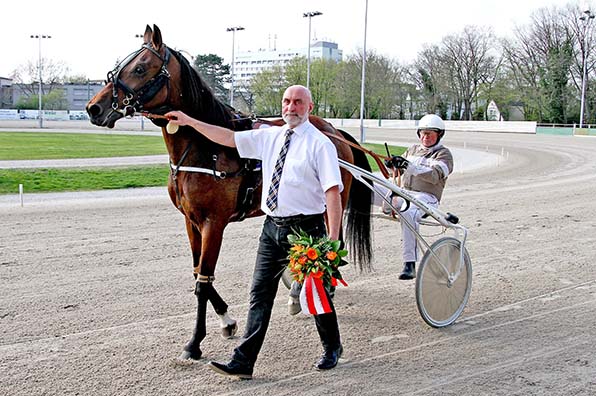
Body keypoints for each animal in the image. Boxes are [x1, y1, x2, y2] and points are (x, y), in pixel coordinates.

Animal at [85, 23, 370, 360]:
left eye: (140, 68)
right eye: (120, 65)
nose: (94, 107)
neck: (205, 147)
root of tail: (333, 131)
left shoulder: (214, 222)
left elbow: (203, 281)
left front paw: (194, 343)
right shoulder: (191, 222)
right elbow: (198, 272)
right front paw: (226, 319)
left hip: (329, 203)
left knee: (330, 243)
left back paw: (323, 287)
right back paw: (297, 292)